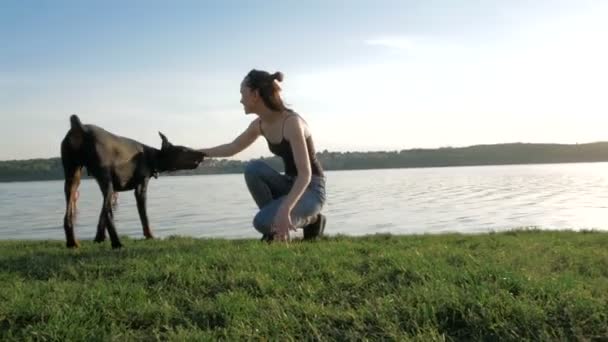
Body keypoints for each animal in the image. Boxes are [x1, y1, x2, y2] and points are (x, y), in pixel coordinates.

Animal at [61, 115, 204, 248]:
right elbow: (144, 217)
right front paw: (150, 236)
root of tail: (80, 128)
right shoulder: (141, 186)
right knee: (106, 214)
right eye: (184, 149)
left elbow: (108, 216)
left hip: (73, 177)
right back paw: (113, 242)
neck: (153, 157)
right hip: (106, 181)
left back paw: (73, 243)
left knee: (69, 216)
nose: (202, 153)